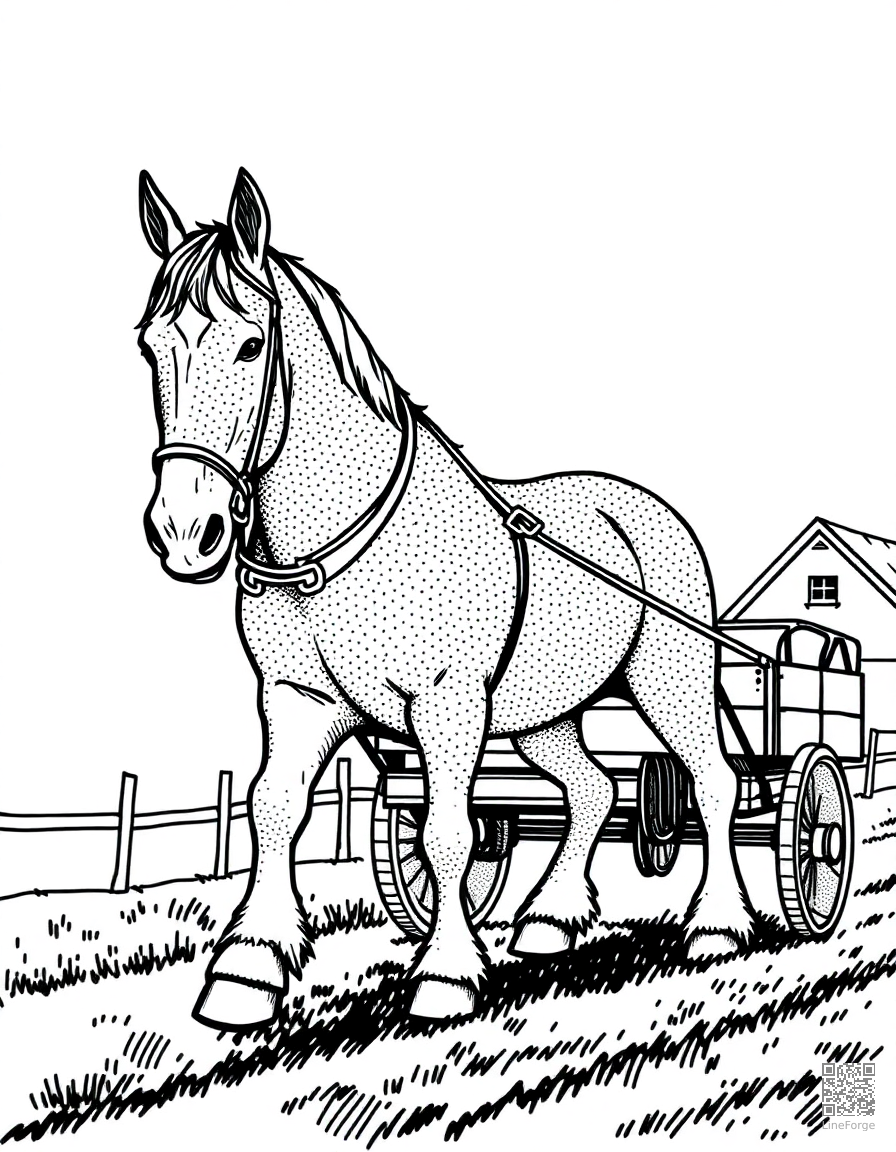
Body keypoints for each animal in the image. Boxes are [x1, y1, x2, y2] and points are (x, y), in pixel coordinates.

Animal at [136, 169, 755, 1030]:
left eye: (251, 343)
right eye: (151, 345)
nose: (186, 530)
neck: (342, 544)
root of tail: (637, 506)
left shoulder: (448, 704)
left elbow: (448, 834)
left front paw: (445, 976)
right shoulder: (296, 699)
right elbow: (273, 810)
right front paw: (247, 969)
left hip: (672, 680)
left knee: (716, 783)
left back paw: (719, 927)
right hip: (544, 716)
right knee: (593, 789)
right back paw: (549, 919)